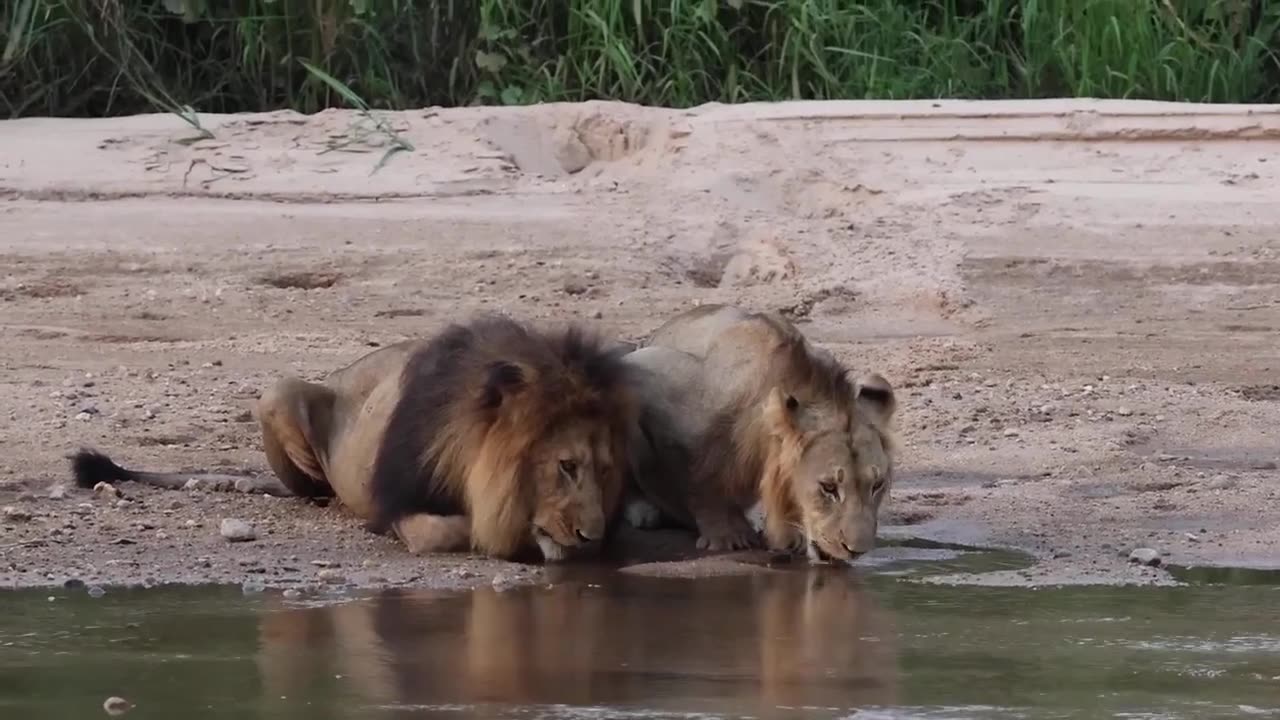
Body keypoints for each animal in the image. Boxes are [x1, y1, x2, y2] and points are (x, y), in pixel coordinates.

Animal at [70, 313, 640, 561]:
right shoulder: (400, 499)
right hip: (278, 392)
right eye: (566, 466)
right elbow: (446, 530)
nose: (592, 536)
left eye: (605, 469)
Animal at [622, 302, 901, 561]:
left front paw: (788, 537)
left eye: (877, 485)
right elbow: (699, 479)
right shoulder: (651, 369)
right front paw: (727, 535)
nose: (857, 551)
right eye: (828, 487)